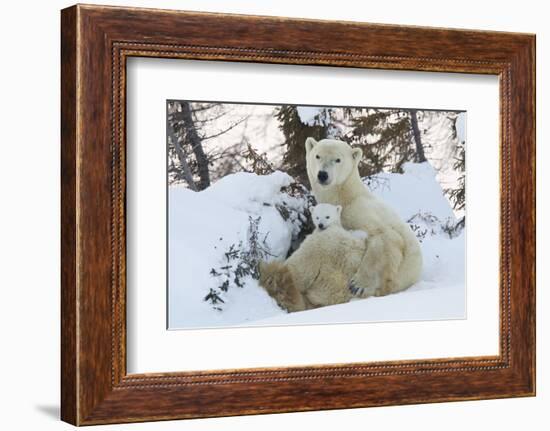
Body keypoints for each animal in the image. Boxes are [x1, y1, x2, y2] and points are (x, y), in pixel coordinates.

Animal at [306, 138, 422, 296]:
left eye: (338, 159)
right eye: (317, 156)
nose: (322, 174)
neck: (346, 197)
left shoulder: (360, 210)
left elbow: (386, 237)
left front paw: (358, 284)